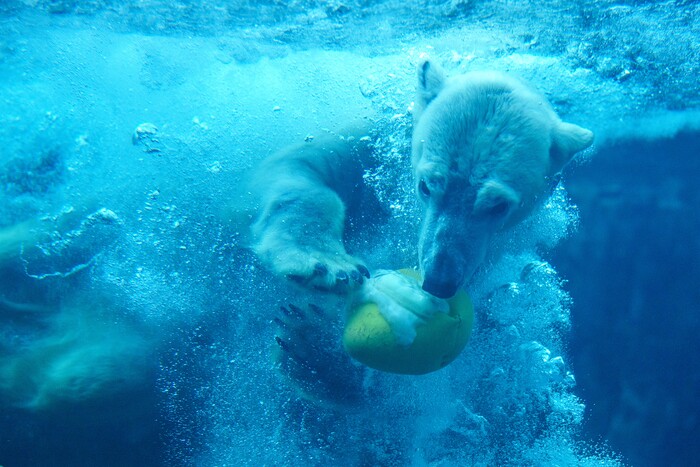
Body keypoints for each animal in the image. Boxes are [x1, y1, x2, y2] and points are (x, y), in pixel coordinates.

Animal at [249, 59, 593, 298]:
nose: (439, 282)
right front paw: (326, 265)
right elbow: (295, 165)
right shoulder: (368, 137)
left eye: (498, 206)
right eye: (425, 187)